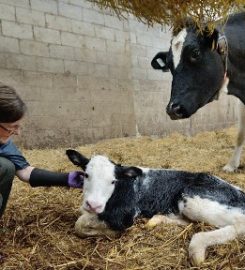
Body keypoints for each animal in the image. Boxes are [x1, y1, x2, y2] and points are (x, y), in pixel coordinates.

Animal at [67, 150, 245, 266]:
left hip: (195, 200)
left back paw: (197, 250)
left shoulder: (124, 214)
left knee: (239, 224)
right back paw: (155, 220)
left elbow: (80, 223)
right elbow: (81, 219)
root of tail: (240, 192)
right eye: (86, 175)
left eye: (113, 181)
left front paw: (112, 232)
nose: (93, 204)